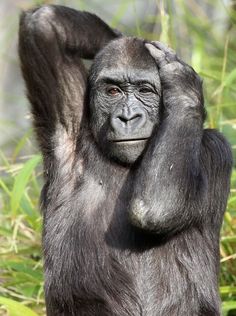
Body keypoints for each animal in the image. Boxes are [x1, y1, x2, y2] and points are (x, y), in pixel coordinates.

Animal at [18, 4, 232, 316]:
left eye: (144, 91)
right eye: (113, 91)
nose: (128, 117)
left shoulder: (216, 150)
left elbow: (158, 208)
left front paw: (182, 84)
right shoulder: (68, 123)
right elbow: (44, 27)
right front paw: (123, 38)